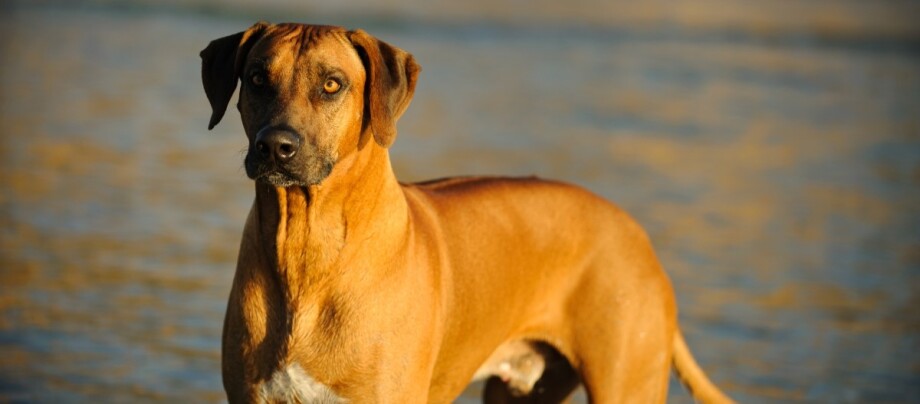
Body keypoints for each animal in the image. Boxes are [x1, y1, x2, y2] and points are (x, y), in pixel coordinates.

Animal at [201, 22, 732, 404]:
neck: (306, 245)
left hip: (626, 380)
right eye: (257, 79)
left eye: (333, 84)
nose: (276, 146)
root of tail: (637, 232)